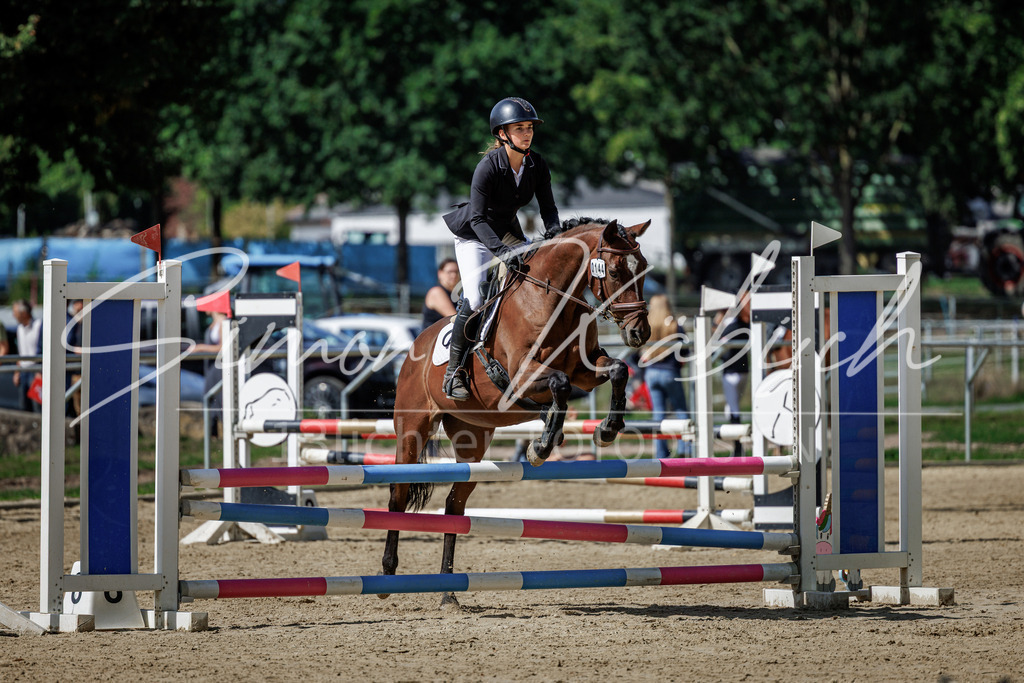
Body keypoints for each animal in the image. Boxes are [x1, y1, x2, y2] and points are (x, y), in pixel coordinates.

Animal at [379, 217, 652, 606]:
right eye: (615, 271)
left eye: (642, 268)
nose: (639, 332)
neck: (552, 300)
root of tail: (415, 347)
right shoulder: (522, 377)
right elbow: (559, 385)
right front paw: (542, 446)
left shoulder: (584, 369)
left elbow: (617, 370)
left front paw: (606, 429)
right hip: (412, 429)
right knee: (398, 495)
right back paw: (387, 575)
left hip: (473, 441)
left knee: (454, 505)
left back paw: (448, 591)